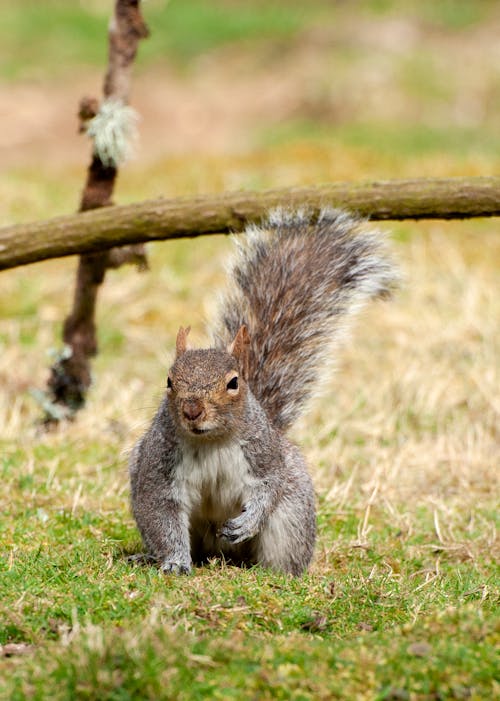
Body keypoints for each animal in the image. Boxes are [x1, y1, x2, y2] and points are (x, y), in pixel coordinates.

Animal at [130, 208, 398, 576]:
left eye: (233, 383)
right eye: (170, 380)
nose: (192, 410)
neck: (210, 440)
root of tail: (221, 554)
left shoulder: (265, 455)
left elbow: (270, 486)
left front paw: (247, 521)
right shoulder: (159, 465)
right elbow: (162, 514)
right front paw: (174, 562)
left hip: (290, 518)